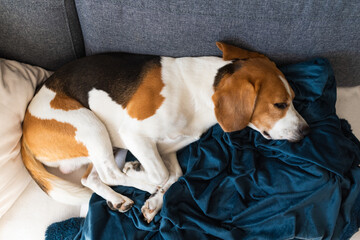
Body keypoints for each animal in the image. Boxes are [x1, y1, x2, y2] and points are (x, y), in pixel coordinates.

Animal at [21, 41, 310, 223]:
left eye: (294, 99)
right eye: (280, 104)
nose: (307, 131)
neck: (199, 92)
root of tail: (25, 127)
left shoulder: (168, 146)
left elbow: (176, 174)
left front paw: (155, 203)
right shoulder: (136, 135)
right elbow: (162, 174)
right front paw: (147, 181)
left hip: (111, 144)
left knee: (91, 178)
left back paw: (118, 199)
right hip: (92, 126)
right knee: (110, 173)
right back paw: (136, 177)